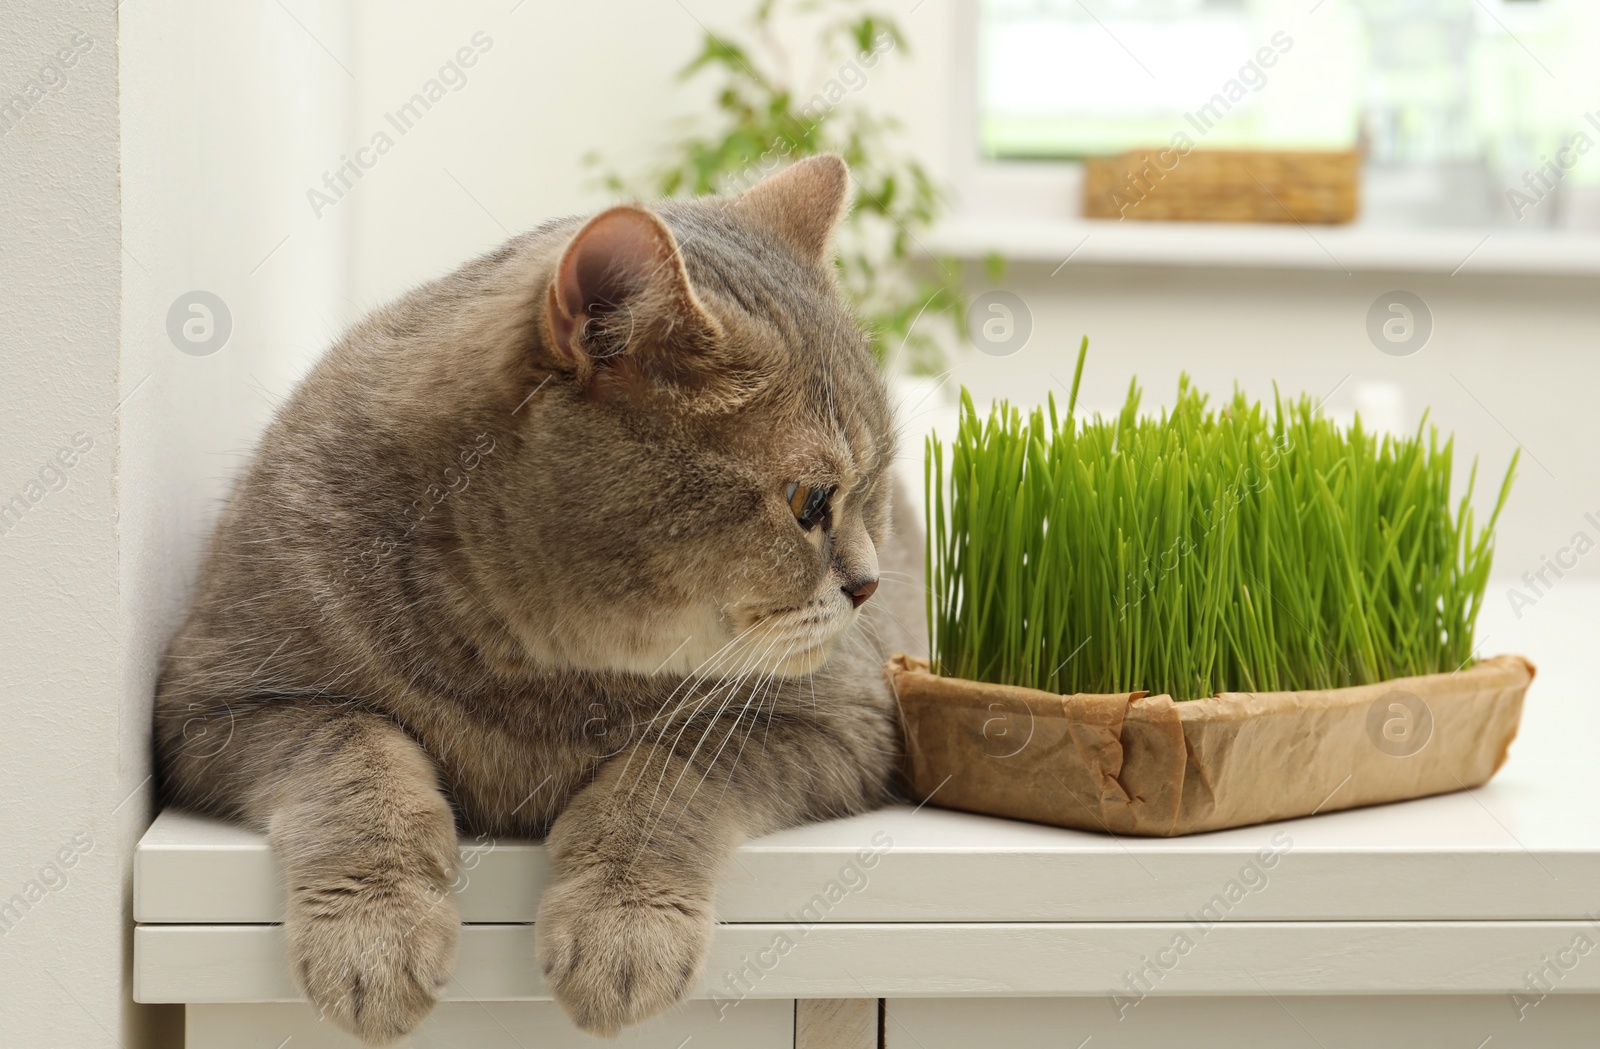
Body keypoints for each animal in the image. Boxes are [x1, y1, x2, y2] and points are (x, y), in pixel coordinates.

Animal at [154, 151, 928, 1042]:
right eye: (809, 500)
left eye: (874, 491)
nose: (869, 584)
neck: (533, 676)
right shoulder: (220, 702)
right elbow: (354, 752)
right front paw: (373, 931)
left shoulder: (842, 717)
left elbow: (666, 770)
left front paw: (622, 924)